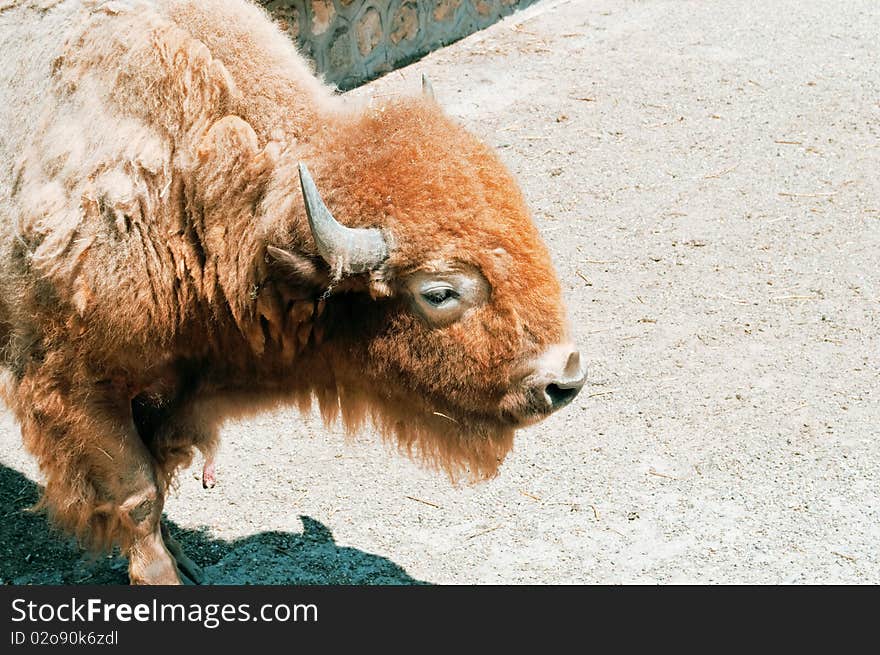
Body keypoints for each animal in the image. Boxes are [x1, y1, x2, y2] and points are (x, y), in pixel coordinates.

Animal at [1, 0, 592, 584]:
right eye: (440, 292)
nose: (564, 380)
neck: (193, 186)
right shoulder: (79, 384)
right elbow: (137, 493)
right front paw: (162, 576)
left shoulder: (172, 387)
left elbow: (161, 474)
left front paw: (186, 562)